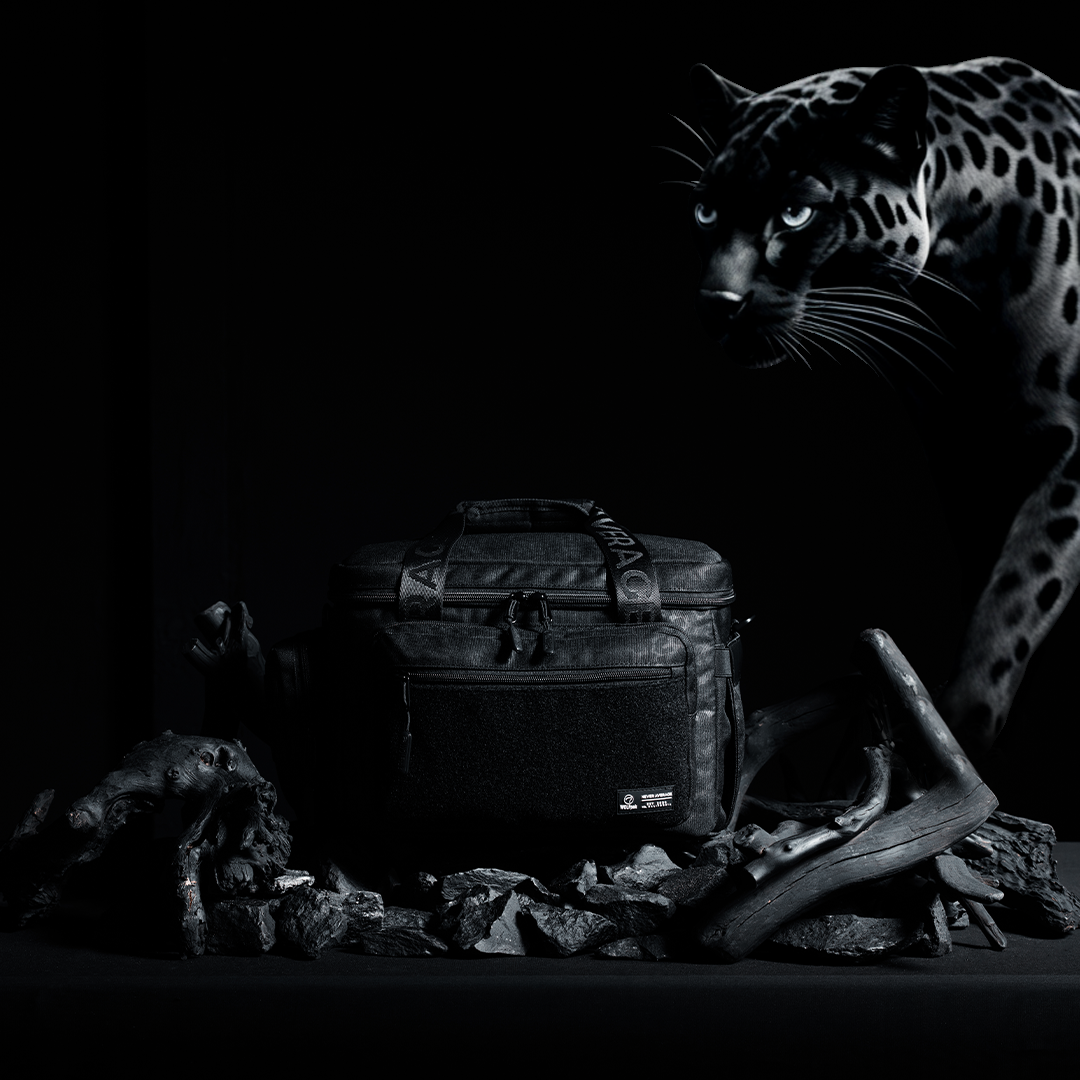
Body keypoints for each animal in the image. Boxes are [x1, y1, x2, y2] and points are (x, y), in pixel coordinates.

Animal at [667, 57, 1079, 759]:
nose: (716, 303)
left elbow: (1016, 593)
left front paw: (954, 735)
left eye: (796, 214)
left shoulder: (1066, 453)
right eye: (705, 210)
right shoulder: (966, 461)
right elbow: (990, 584)